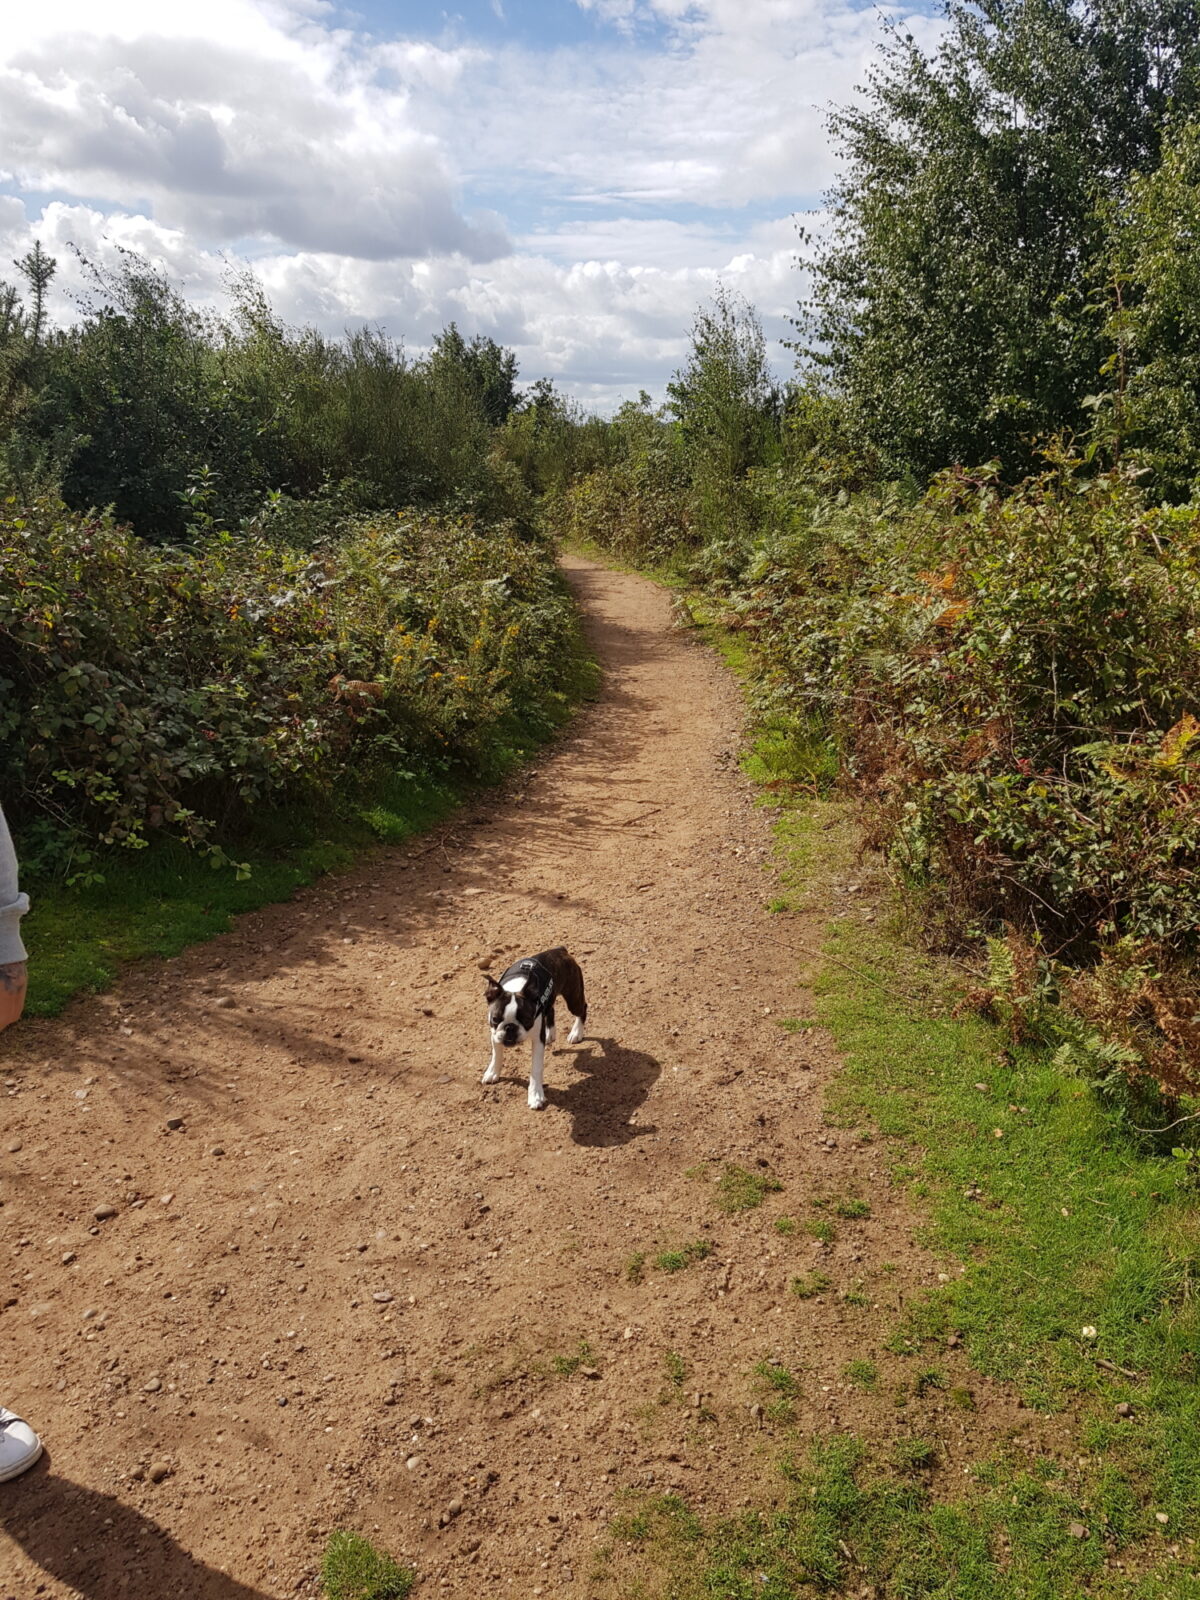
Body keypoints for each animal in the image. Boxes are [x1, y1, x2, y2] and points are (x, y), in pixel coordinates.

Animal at [483, 940, 588, 1107]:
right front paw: (493, 1072)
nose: (509, 1027)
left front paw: (535, 1095)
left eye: (527, 1020)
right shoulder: (495, 1034)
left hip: (573, 998)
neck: (516, 988)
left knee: (582, 1009)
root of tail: (560, 950)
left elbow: (536, 1068)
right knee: (551, 1010)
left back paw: (576, 1032)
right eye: (495, 1019)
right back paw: (550, 1034)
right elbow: (496, 1054)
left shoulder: (537, 1041)